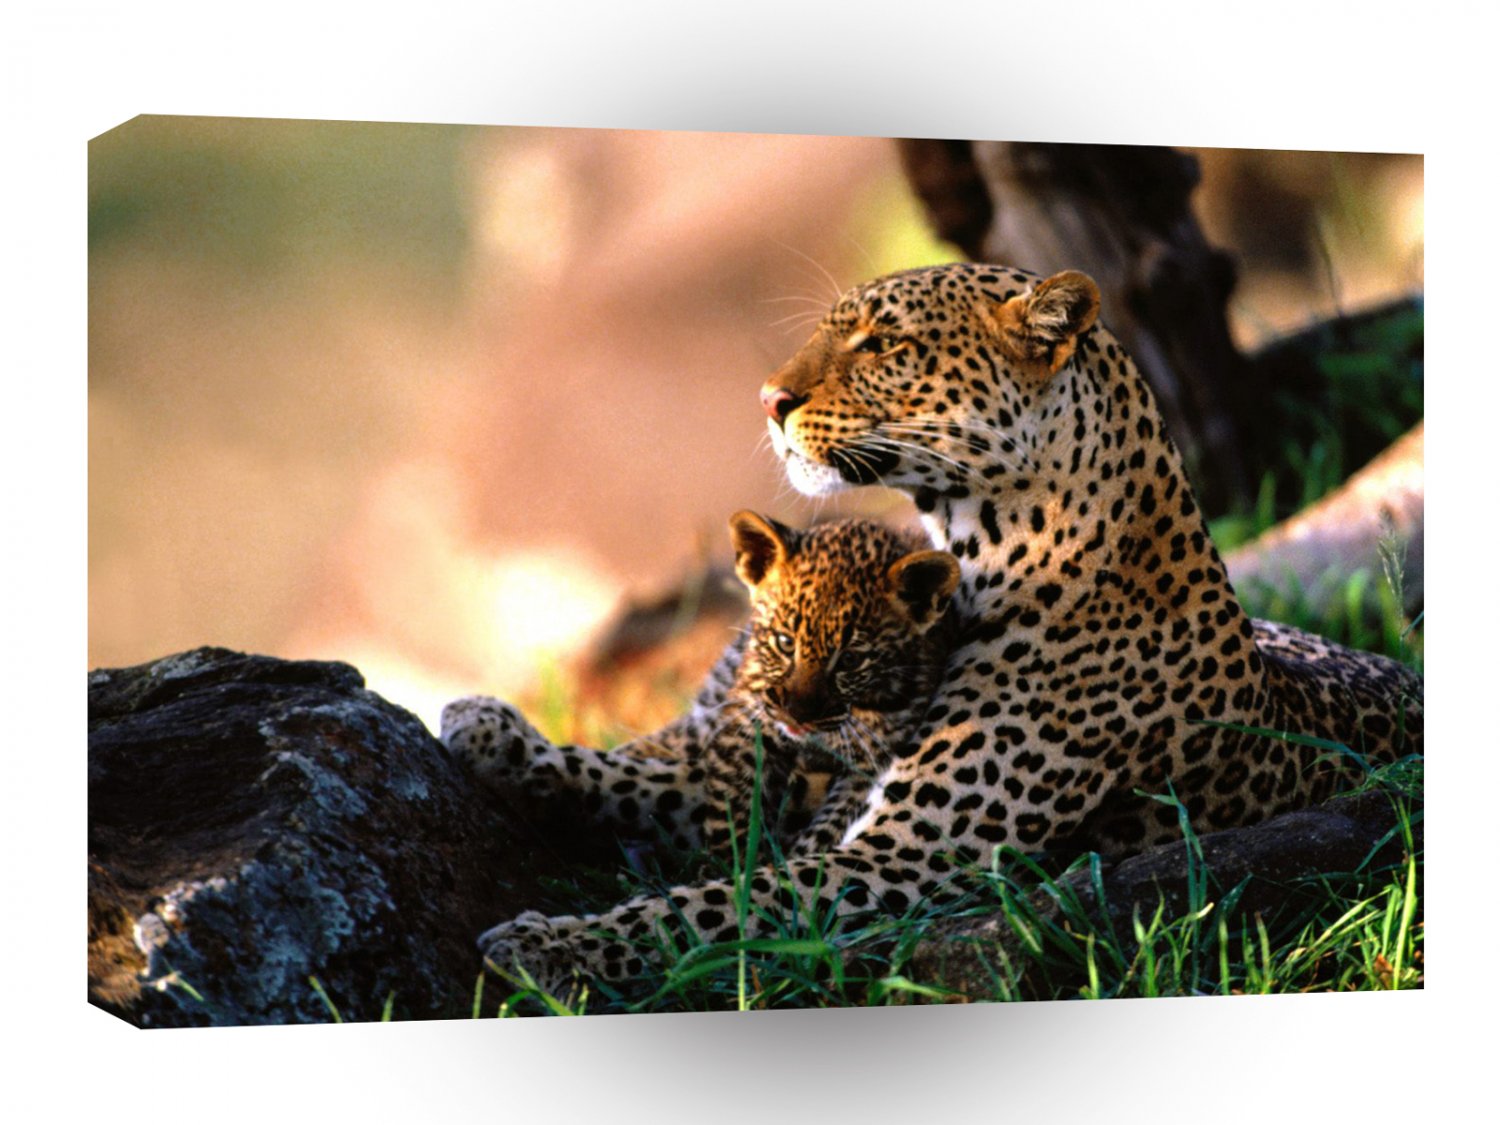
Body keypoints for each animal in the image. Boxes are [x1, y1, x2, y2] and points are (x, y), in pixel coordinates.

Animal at [440, 511, 960, 866]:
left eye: (851, 660)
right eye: (784, 642)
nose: (796, 715)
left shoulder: (860, 761)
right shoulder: (719, 725)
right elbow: (633, 765)